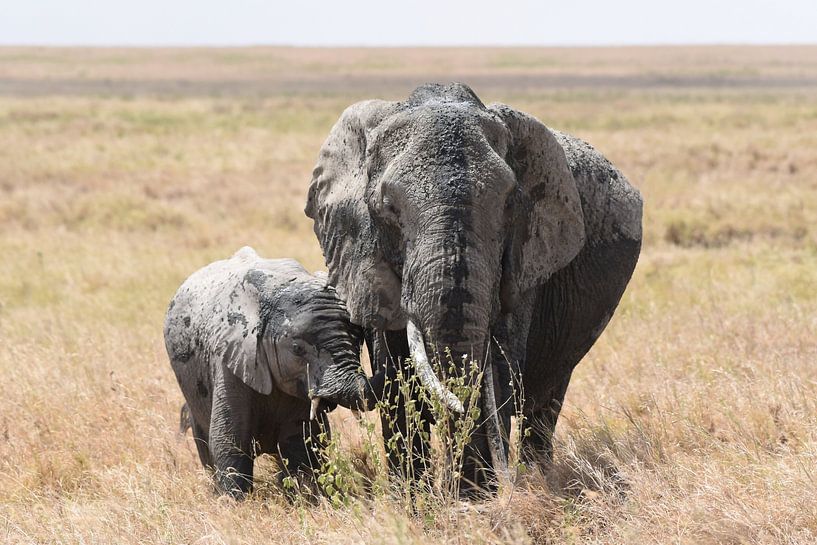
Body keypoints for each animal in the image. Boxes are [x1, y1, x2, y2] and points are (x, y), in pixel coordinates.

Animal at [164, 246, 383, 498]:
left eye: (359, 341)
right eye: (297, 349)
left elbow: (300, 444)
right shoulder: (230, 361)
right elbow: (229, 440)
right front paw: (235, 503)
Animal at [305, 82, 642, 495]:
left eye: (510, 205)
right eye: (387, 208)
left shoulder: (526, 259)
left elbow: (497, 372)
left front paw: (473, 498)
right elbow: (398, 381)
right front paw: (416, 502)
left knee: (544, 404)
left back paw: (538, 477)